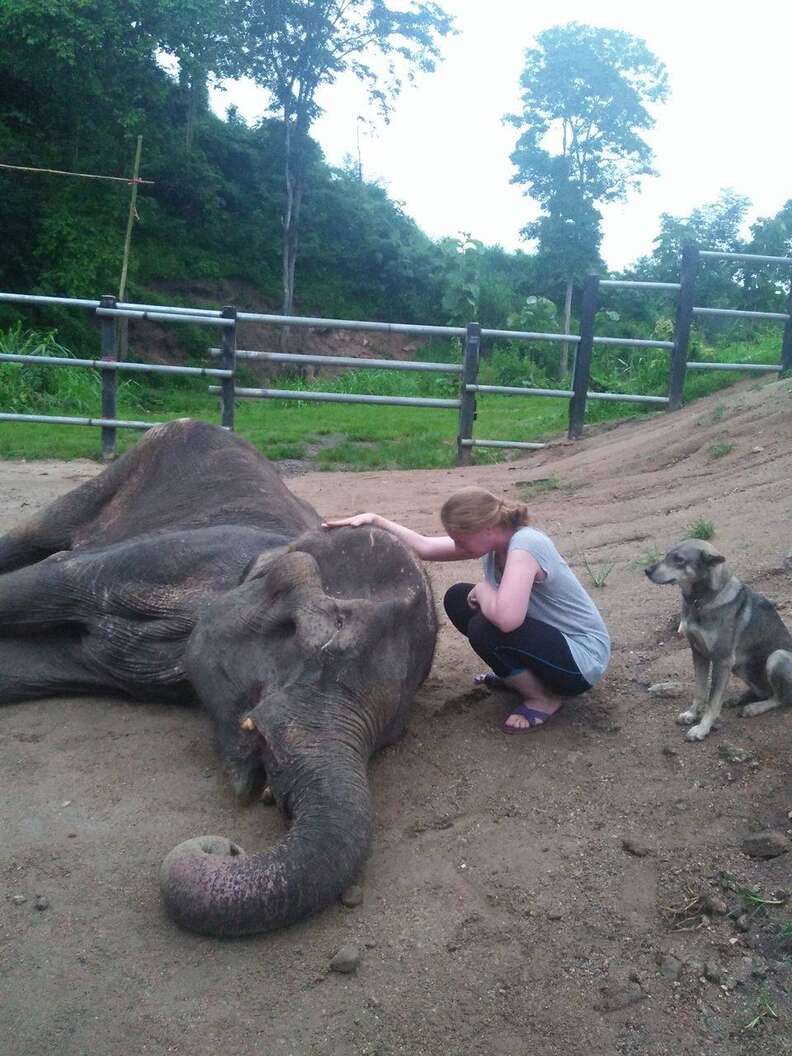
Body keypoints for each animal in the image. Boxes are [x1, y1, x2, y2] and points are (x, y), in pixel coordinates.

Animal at [0, 416, 441, 937]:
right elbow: (50, 579)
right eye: (304, 638)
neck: (271, 557)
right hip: (125, 468)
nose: (225, 846)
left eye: (395, 732)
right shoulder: (171, 558)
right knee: (37, 535)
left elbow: (29, 667)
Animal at [646, 540, 792, 739]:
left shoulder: (722, 660)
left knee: (780, 698)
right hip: (739, 666)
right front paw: (692, 714)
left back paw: (754, 708)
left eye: (678, 559)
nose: (646, 570)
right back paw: (739, 698)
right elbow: (700, 690)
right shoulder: (698, 653)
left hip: (776, 656)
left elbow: (713, 700)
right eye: (667, 555)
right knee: (763, 691)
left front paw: (702, 728)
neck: (699, 600)